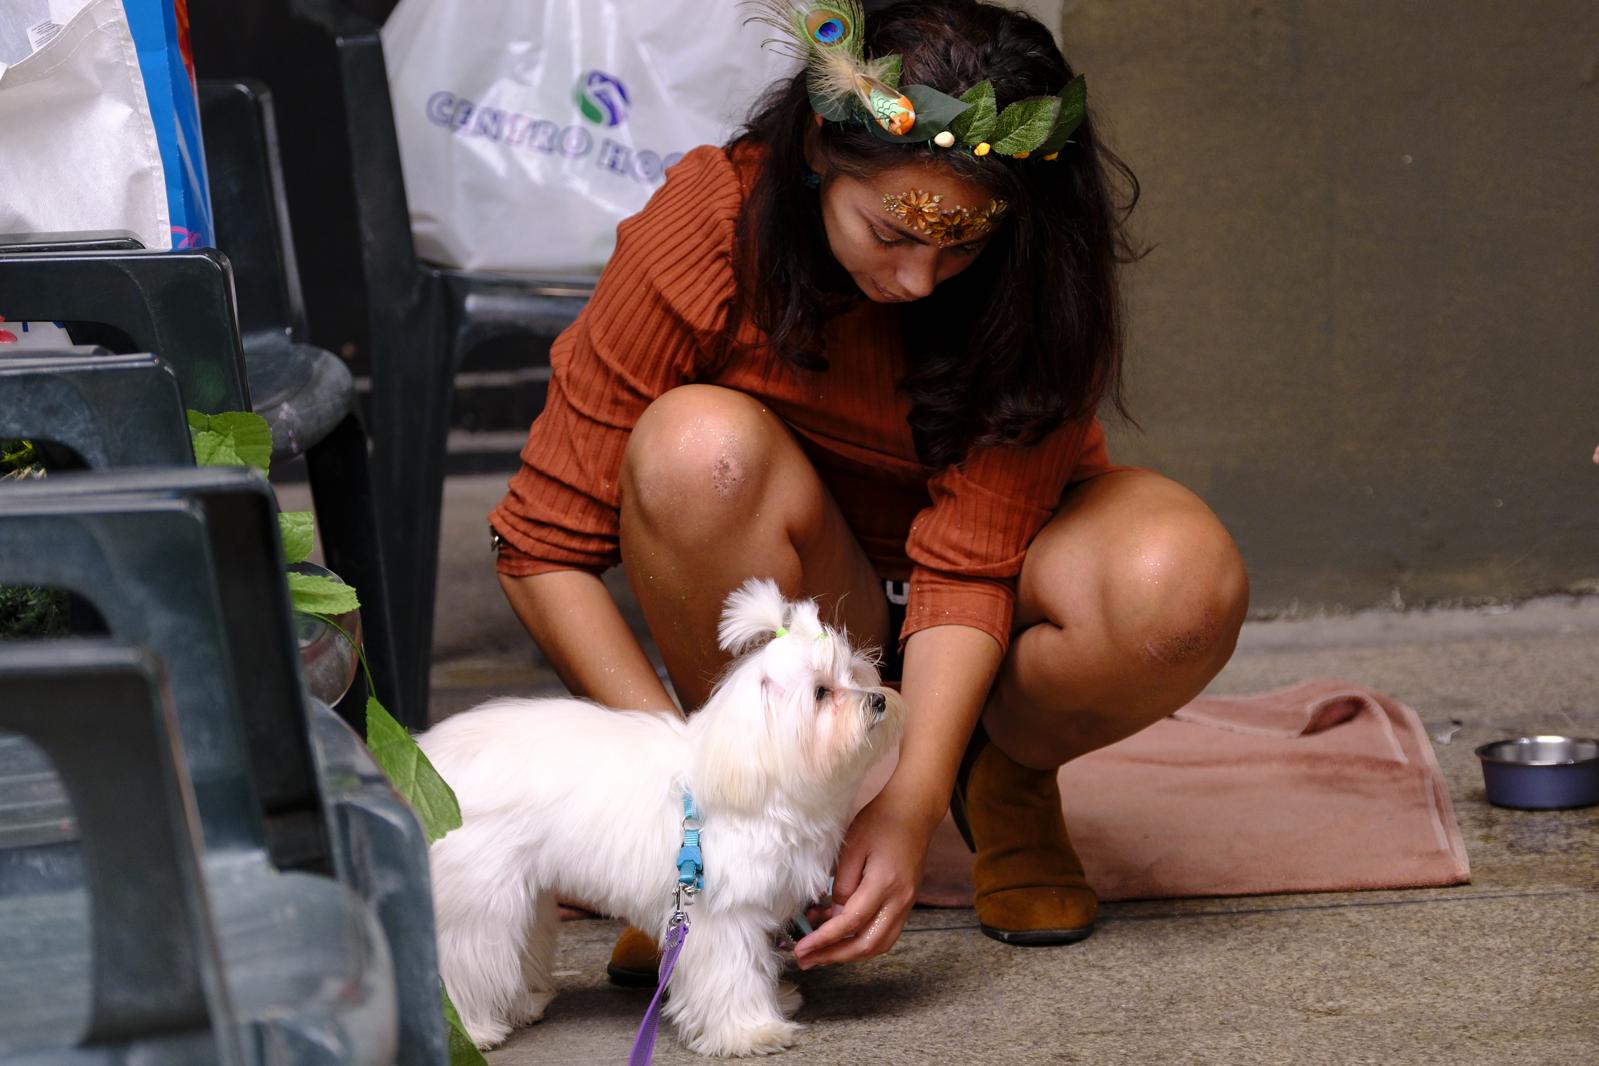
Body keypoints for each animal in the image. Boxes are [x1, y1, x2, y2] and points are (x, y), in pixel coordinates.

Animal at [418, 578, 908, 1054]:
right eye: (822, 693)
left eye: (854, 675)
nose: (879, 701)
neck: (760, 774)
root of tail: (428, 757)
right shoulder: (720, 913)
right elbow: (732, 972)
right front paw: (750, 1032)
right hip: (481, 896)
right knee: (461, 959)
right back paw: (473, 1029)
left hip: (522, 894)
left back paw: (521, 1004)